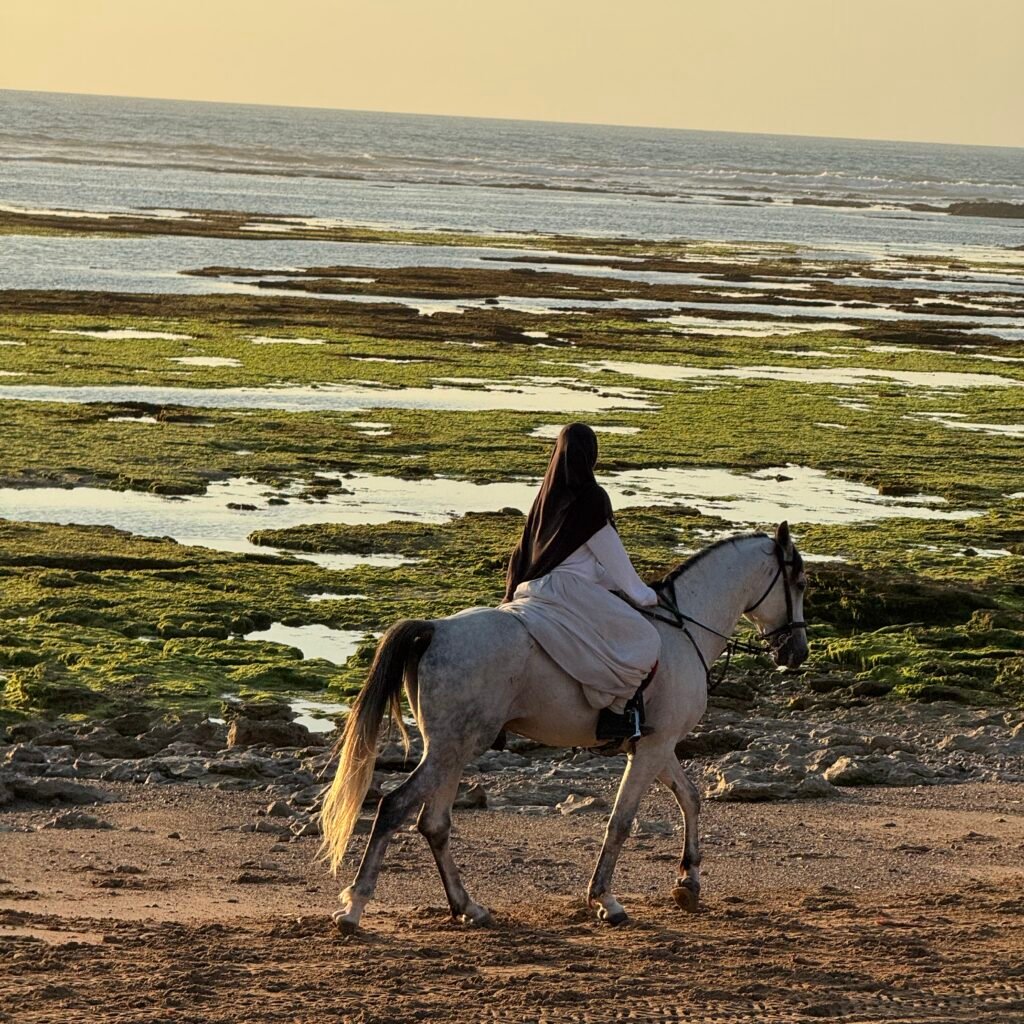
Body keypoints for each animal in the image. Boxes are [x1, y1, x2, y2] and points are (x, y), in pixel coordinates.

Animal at [320, 521, 808, 932]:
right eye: (800, 584)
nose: (797, 653)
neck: (683, 629)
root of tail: (436, 629)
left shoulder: (657, 745)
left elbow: (689, 798)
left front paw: (688, 882)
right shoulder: (654, 748)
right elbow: (621, 821)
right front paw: (606, 900)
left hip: (452, 750)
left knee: (434, 823)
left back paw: (467, 906)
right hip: (451, 749)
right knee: (394, 808)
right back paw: (355, 908)